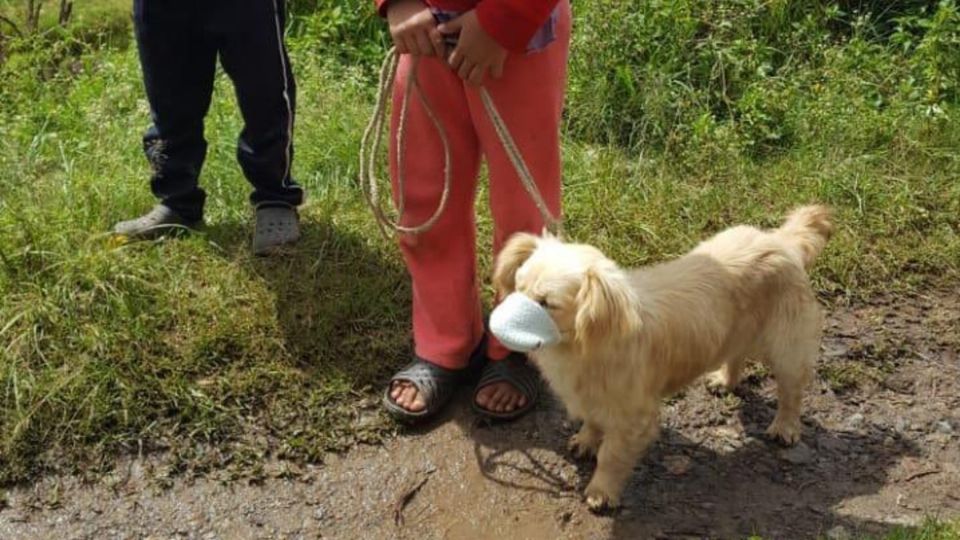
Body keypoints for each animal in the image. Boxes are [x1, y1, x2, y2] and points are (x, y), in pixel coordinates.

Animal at [496, 206, 832, 510]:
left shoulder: (634, 419)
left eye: (546, 303)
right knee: (736, 355)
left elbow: (611, 456)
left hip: (787, 348)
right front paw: (586, 440)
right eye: (518, 286)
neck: (581, 346)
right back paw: (725, 381)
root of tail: (782, 242)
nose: (498, 321)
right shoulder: (591, 397)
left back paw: (785, 427)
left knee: (791, 392)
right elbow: (592, 421)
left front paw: (601, 492)